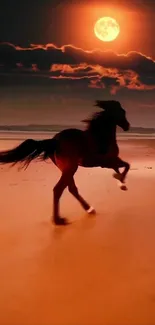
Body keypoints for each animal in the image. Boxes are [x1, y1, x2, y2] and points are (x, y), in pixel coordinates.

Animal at [0, 100, 130, 224]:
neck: (101, 136)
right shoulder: (108, 161)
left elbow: (120, 168)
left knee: (71, 189)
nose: (127, 126)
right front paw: (122, 183)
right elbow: (126, 166)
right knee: (58, 189)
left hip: (67, 170)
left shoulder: (109, 162)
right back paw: (58, 220)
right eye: (122, 112)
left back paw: (88, 209)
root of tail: (55, 141)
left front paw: (121, 183)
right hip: (71, 168)